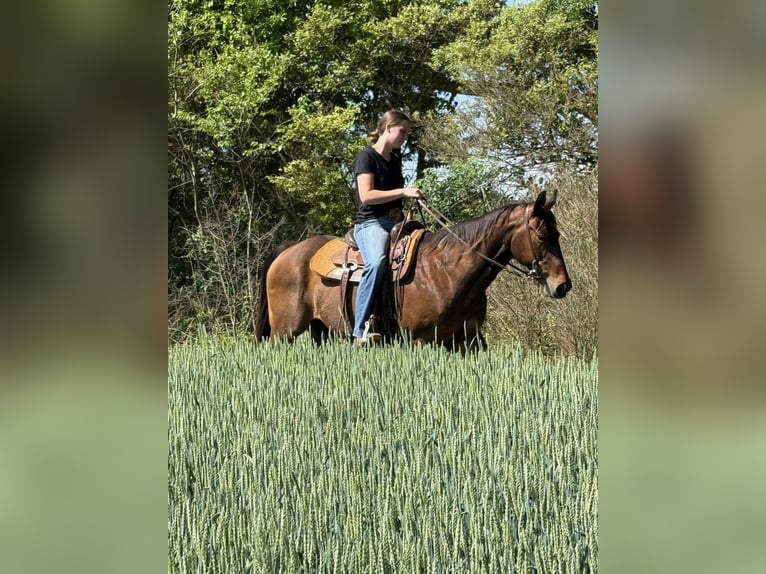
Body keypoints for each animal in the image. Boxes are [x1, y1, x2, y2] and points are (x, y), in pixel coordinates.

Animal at [255, 190, 571, 350]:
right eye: (542, 235)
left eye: (557, 234)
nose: (562, 285)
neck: (448, 272)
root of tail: (290, 249)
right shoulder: (420, 341)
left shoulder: (465, 342)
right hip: (283, 333)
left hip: (319, 329)